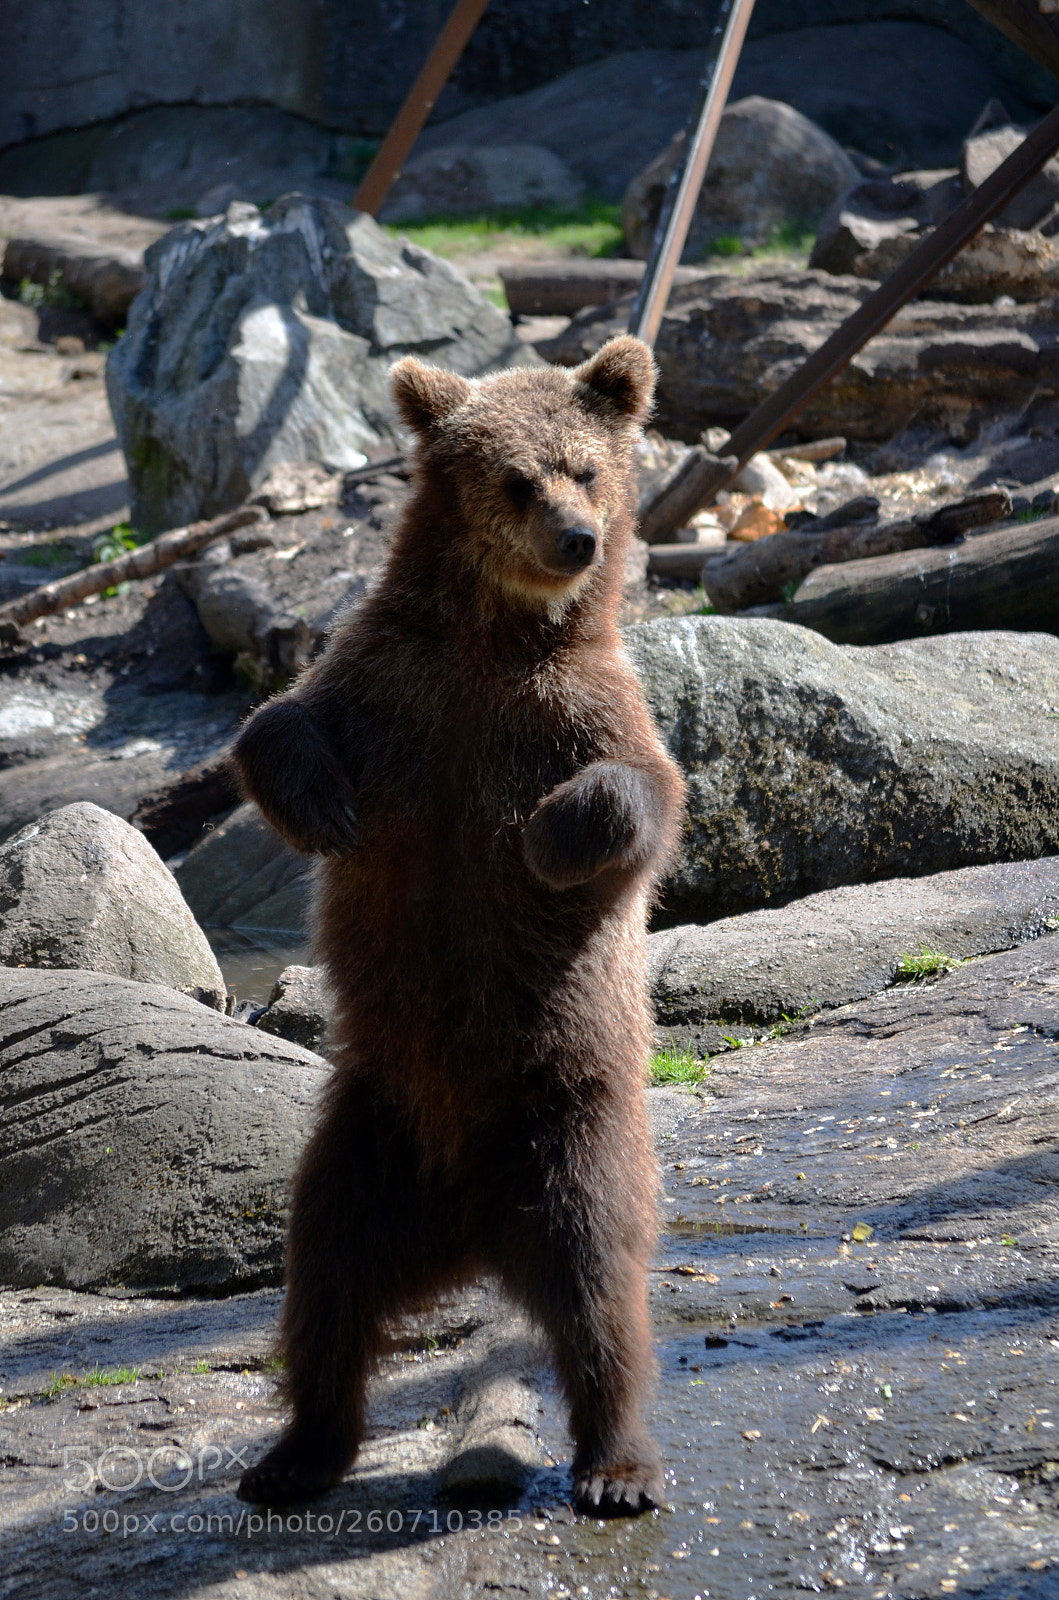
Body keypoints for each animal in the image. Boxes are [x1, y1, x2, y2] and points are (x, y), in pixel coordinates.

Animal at [233, 335, 687, 1516]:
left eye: (585, 465)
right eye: (516, 478)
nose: (576, 538)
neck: (492, 635)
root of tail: (471, 1228)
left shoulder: (573, 707)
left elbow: (643, 796)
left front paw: (548, 838)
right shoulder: (393, 688)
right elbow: (276, 727)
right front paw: (325, 804)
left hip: (570, 1114)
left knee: (598, 1283)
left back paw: (616, 1462)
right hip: (369, 1128)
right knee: (327, 1275)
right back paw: (297, 1451)